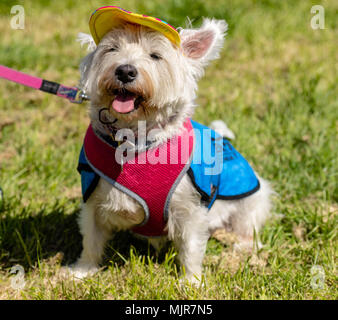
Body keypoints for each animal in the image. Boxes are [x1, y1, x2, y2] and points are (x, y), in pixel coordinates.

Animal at [70, 6, 272, 282]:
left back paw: (241, 246)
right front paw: (80, 272)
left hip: (251, 200)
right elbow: (90, 239)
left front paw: (191, 282)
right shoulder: (92, 198)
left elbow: (190, 247)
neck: (133, 142)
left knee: (248, 228)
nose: (125, 71)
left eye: (155, 56)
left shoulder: (189, 208)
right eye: (112, 49)